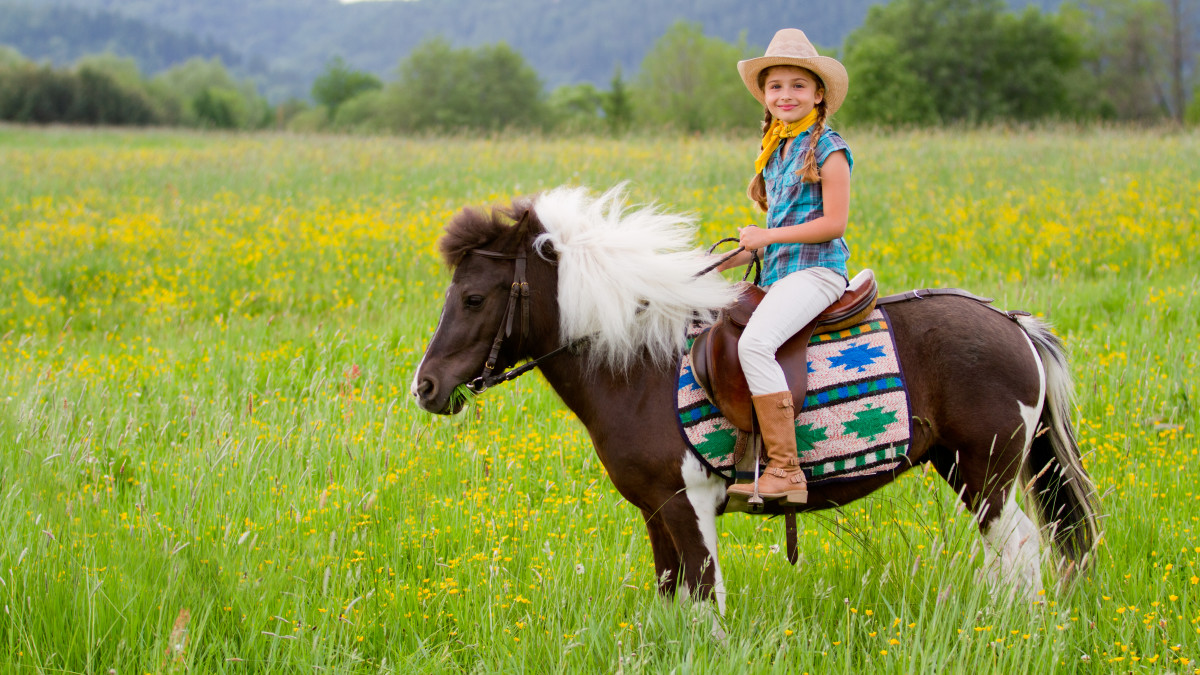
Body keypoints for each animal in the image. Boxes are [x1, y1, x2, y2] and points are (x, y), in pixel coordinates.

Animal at [410, 183, 1099, 610]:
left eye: (473, 297)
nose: (426, 386)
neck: (641, 367)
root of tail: (1013, 325)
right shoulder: (656, 511)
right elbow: (673, 598)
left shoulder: (688, 504)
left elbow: (706, 600)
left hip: (985, 473)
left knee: (1018, 554)